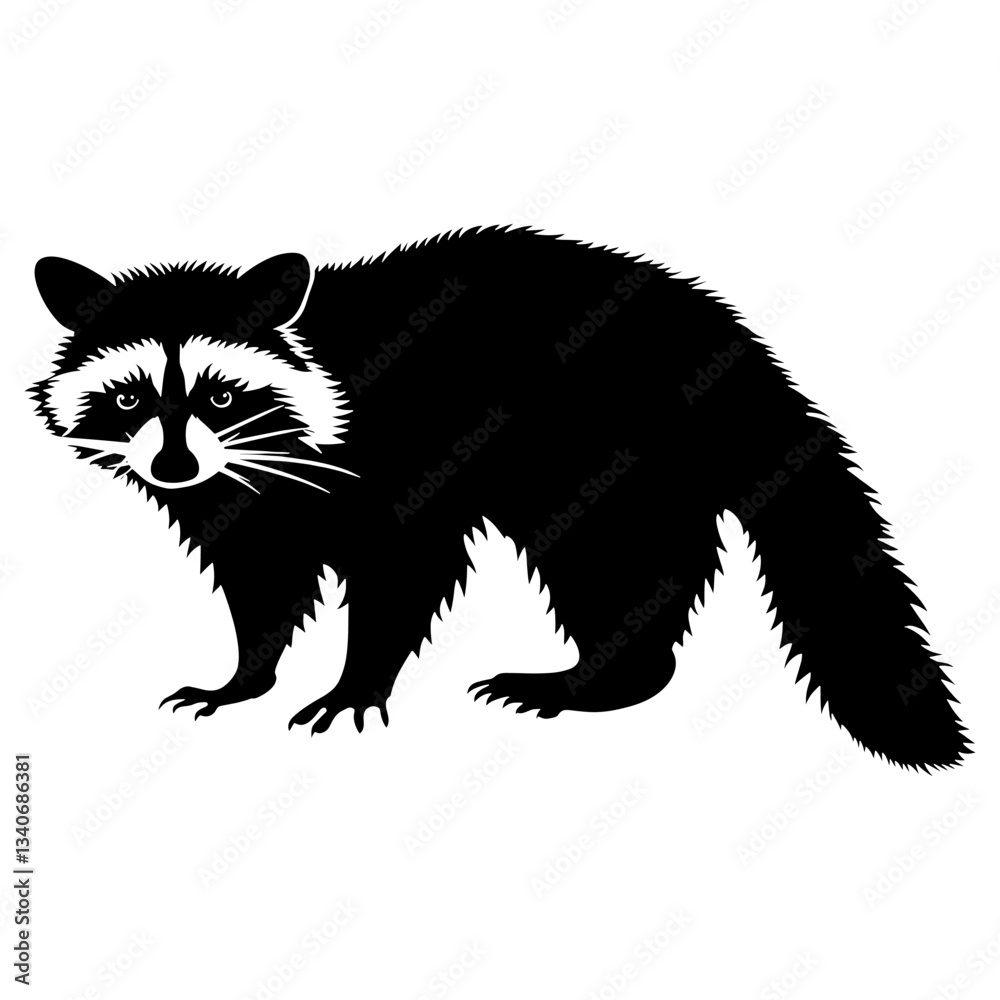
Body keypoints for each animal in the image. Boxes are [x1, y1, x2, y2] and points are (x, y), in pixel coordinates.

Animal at [31, 227, 967, 770]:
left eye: (222, 395)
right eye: (129, 397)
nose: (173, 466)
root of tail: (726, 341)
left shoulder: (397, 453)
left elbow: (403, 568)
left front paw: (357, 679)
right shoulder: (253, 496)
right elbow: (265, 579)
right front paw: (245, 673)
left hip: (597, 443)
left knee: (612, 560)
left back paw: (605, 673)